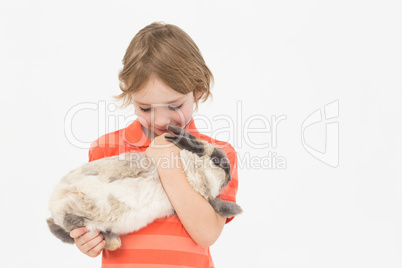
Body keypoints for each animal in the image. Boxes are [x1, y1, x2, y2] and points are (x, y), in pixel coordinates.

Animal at [47, 125, 242, 251]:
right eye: (216, 160)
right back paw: (113, 242)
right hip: (82, 208)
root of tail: (54, 203)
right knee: (68, 222)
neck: (188, 167)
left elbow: (212, 202)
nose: (229, 178)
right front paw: (236, 209)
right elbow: (214, 202)